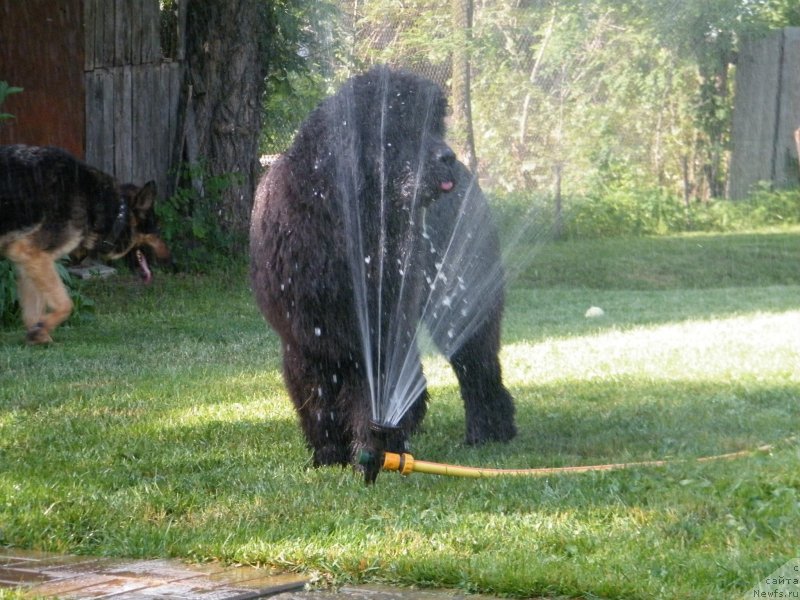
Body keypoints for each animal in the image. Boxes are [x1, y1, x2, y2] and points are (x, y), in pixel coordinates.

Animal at [0, 143, 170, 344]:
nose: (171, 259)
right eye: (158, 230)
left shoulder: (28, 259)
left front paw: (39, 335)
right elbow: (66, 304)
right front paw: (43, 329)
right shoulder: (32, 253)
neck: (113, 211)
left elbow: (33, 310)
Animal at [248, 65, 512, 480]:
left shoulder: (380, 327)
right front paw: (328, 455)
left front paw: (375, 451)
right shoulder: (305, 336)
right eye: (400, 127)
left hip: (463, 295)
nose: (448, 156)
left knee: (476, 362)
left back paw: (487, 429)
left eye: (434, 124)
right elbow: (316, 396)